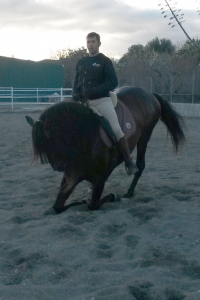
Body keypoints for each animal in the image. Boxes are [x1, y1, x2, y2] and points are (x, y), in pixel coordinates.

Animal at [25, 86, 185, 213]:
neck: (85, 139)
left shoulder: (99, 178)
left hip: (145, 136)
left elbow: (92, 205)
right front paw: (80, 200)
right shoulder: (72, 175)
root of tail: (149, 93)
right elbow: (57, 206)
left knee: (140, 166)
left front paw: (112, 196)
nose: (57, 167)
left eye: (54, 139)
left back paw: (129, 192)